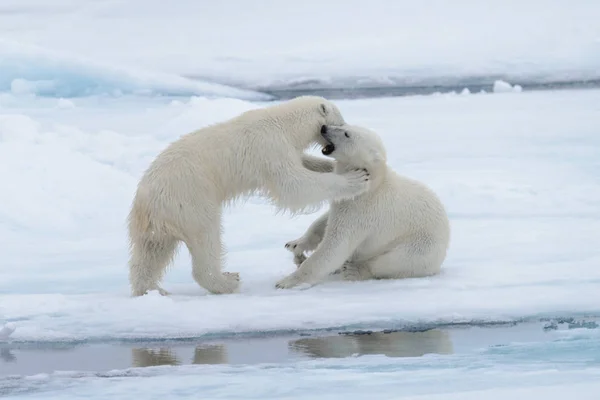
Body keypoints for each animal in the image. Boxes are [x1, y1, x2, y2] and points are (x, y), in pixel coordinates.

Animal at [127, 97, 370, 296]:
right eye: (340, 123)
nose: (338, 129)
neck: (283, 123)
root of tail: (146, 202)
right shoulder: (271, 148)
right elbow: (293, 185)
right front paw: (354, 180)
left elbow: (302, 163)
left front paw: (329, 166)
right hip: (190, 201)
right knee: (206, 239)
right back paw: (228, 281)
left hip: (157, 223)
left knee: (150, 253)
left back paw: (151, 289)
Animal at [276, 123, 450, 290]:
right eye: (344, 126)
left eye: (347, 134)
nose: (324, 128)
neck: (373, 182)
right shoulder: (346, 201)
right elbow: (324, 221)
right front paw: (295, 244)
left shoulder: (362, 210)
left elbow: (336, 246)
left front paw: (286, 282)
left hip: (421, 246)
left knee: (392, 261)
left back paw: (353, 270)